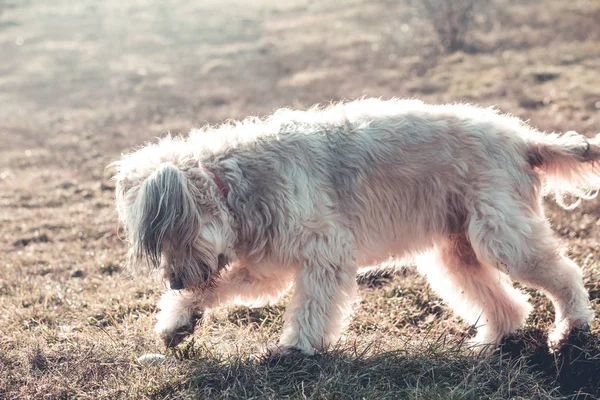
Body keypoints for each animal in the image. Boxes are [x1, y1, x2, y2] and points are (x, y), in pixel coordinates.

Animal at [111, 98, 596, 354]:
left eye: (171, 236)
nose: (174, 280)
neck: (236, 184)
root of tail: (522, 138)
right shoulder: (266, 265)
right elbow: (218, 287)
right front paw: (178, 322)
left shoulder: (322, 254)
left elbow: (310, 307)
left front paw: (296, 348)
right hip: (456, 252)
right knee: (504, 301)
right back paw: (494, 338)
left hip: (503, 239)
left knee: (565, 274)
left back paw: (571, 327)